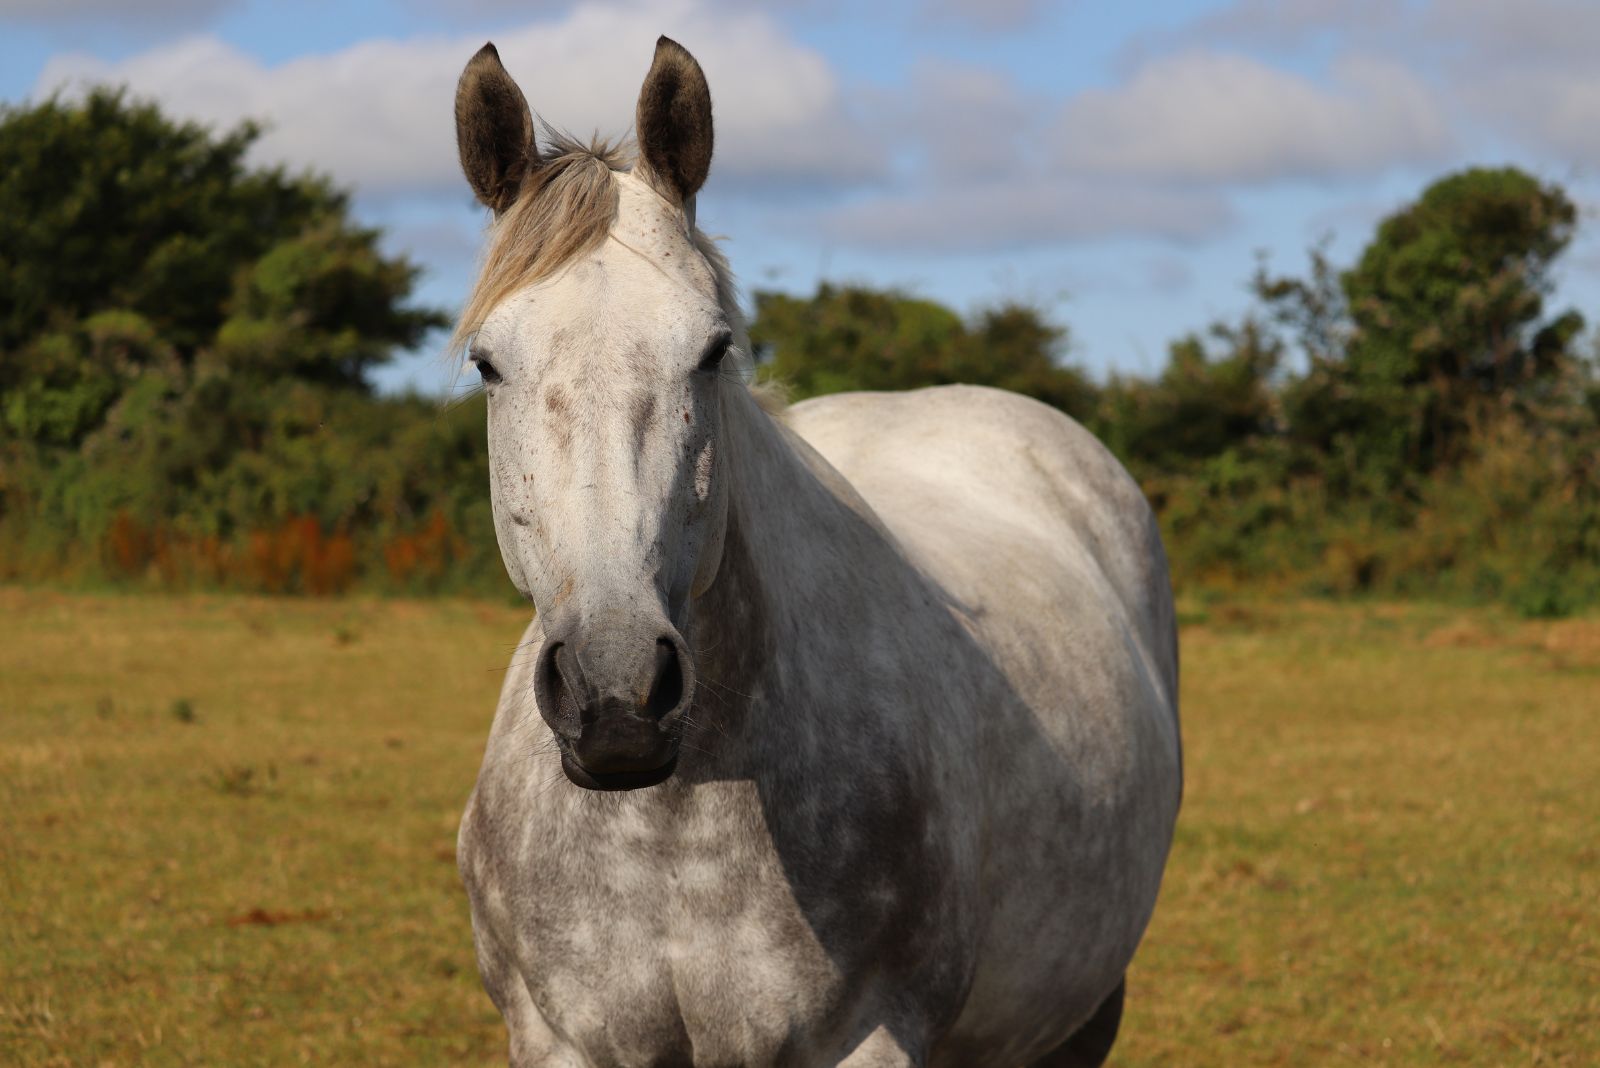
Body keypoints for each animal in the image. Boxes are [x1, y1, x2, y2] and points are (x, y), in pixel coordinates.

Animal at [451, 35, 1190, 1068]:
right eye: (488, 363)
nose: (617, 697)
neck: (670, 831)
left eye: (713, 350)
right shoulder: (561, 1041)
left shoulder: (868, 1039)